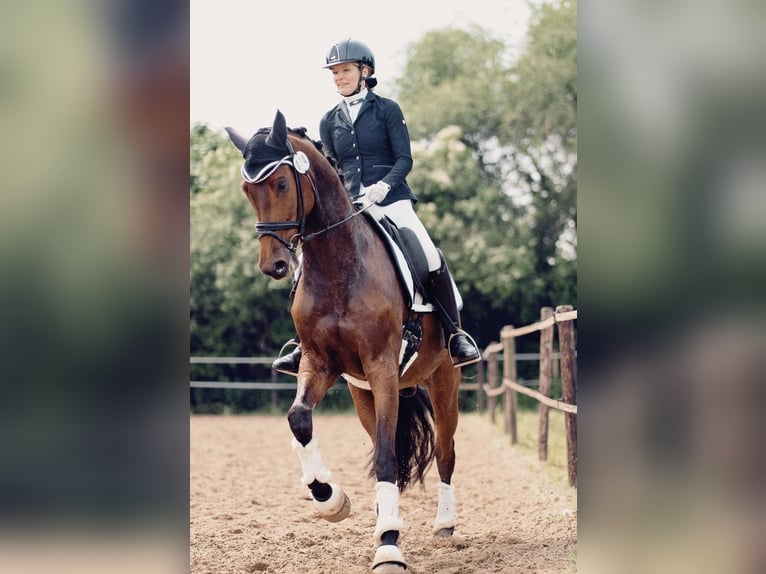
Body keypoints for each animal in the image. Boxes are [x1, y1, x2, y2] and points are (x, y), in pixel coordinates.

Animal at [226, 110, 461, 574]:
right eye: (247, 190)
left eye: (282, 184)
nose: (273, 266)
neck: (337, 265)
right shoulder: (320, 362)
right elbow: (299, 420)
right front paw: (330, 499)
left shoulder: (382, 365)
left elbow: (388, 456)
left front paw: (388, 547)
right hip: (361, 393)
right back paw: (382, 512)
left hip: (443, 383)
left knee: (445, 452)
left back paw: (442, 524)